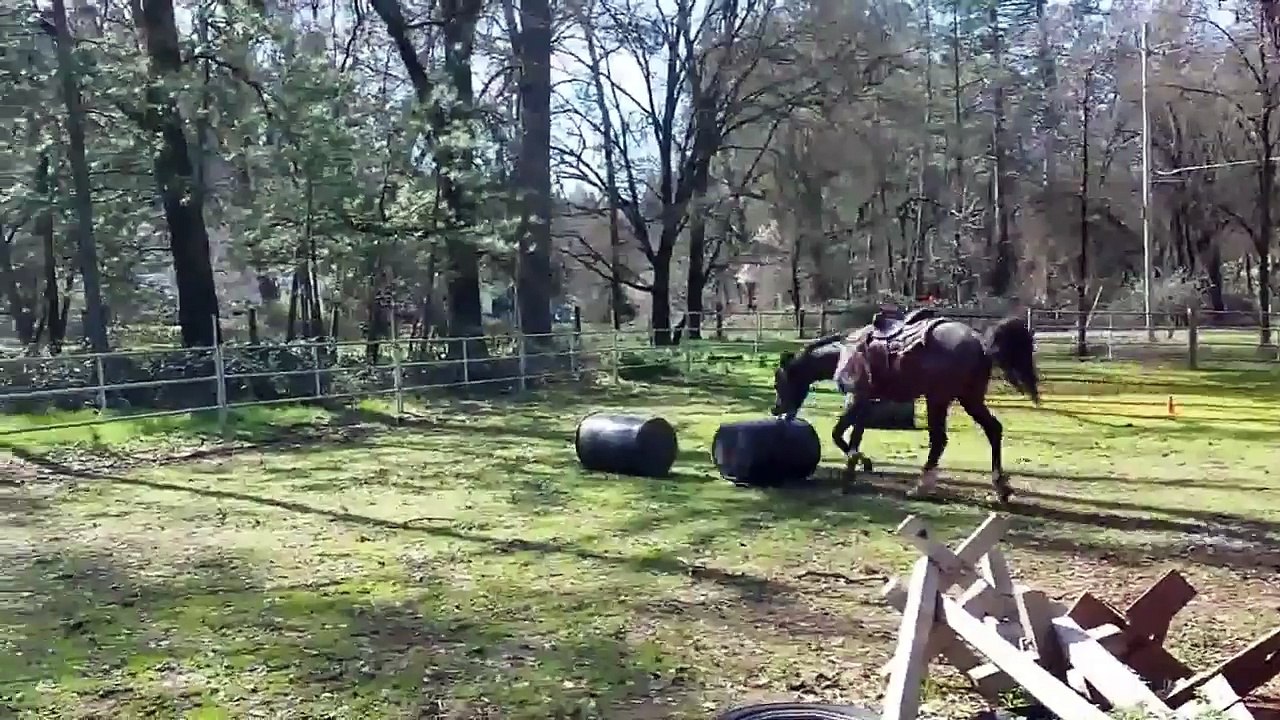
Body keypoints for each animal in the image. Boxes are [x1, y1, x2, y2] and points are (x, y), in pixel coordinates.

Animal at [769, 311, 1041, 503]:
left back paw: (921, 487)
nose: (776, 410)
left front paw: (857, 465)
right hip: (969, 399)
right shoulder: (864, 403)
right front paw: (856, 468)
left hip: (938, 398)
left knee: (939, 440)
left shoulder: (855, 399)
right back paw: (1001, 487)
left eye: (779, 381)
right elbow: (854, 436)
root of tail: (981, 343)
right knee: (993, 430)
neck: (844, 353)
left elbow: (838, 434)